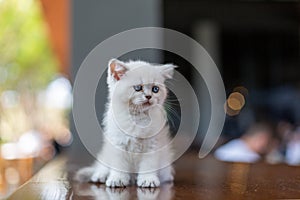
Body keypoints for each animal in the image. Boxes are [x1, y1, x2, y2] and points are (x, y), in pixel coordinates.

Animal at [74, 58, 176, 187]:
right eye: (138, 88)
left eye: (155, 89)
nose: (149, 96)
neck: (137, 118)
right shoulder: (118, 143)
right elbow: (119, 164)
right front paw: (117, 179)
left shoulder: (153, 145)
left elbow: (149, 164)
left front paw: (148, 180)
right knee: (102, 165)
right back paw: (100, 175)